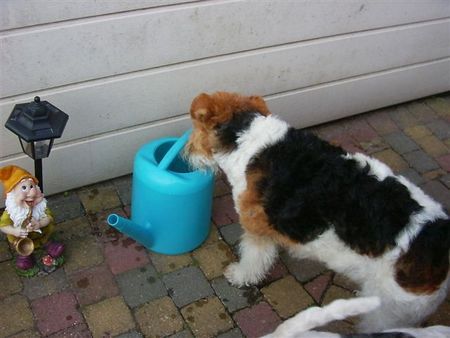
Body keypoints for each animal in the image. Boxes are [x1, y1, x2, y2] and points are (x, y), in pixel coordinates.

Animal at [184, 91, 450, 332]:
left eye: (195, 128)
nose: (185, 155)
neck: (246, 140)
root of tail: (438, 240)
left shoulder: (256, 228)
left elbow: (252, 260)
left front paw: (238, 276)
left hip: (392, 309)